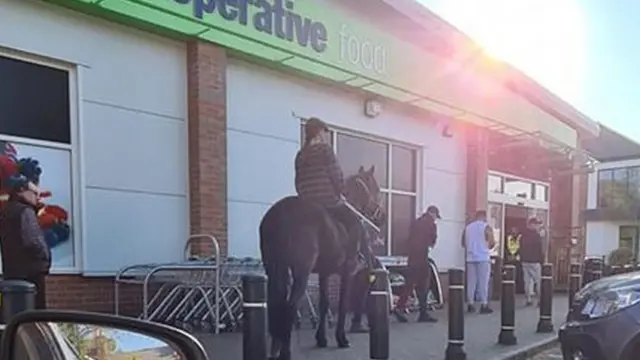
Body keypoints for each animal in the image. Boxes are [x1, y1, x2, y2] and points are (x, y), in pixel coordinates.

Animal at [260, 166, 384, 360]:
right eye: (376, 189)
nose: (382, 216)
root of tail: (279, 214)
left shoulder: (324, 273)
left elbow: (324, 304)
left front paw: (321, 339)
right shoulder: (347, 272)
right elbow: (342, 304)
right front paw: (341, 338)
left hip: (274, 269)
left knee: (276, 304)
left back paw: (275, 348)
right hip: (300, 273)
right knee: (290, 307)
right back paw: (285, 352)